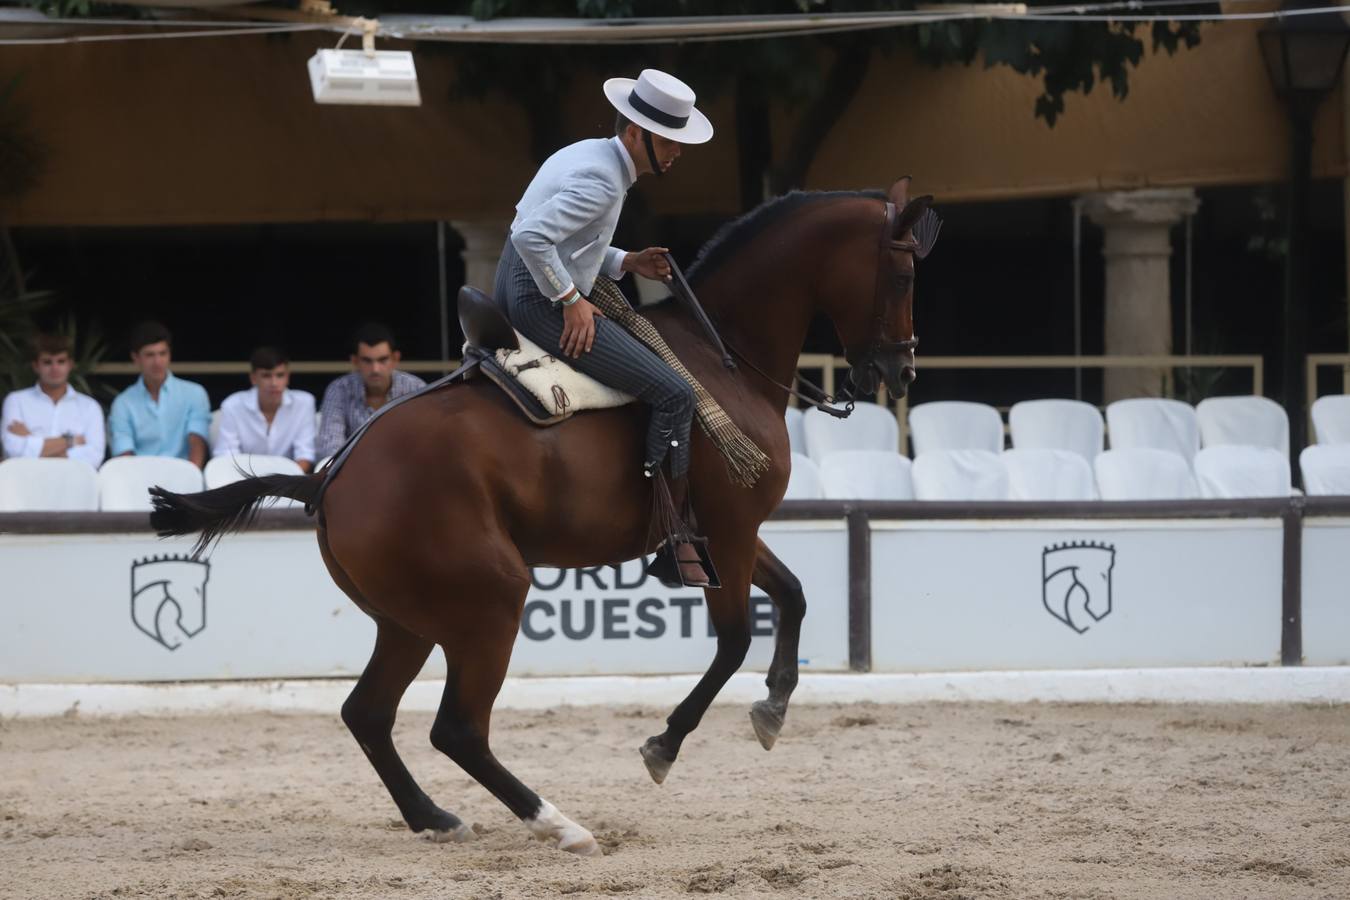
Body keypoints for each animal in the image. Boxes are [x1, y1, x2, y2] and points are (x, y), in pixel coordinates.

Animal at [147, 175, 928, 858]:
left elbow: (792, 596)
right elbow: (735, 641)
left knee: (368, 713)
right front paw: (666, 743)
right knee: (458, 730)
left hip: (408, 620)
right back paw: (561, 825)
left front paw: (773, 708)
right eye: (902, 274)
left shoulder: (724, 535)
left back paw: (434, 817)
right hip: (490, 601)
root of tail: (333, 477)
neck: (721, 360)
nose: (899, 373)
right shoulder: (730, 533)